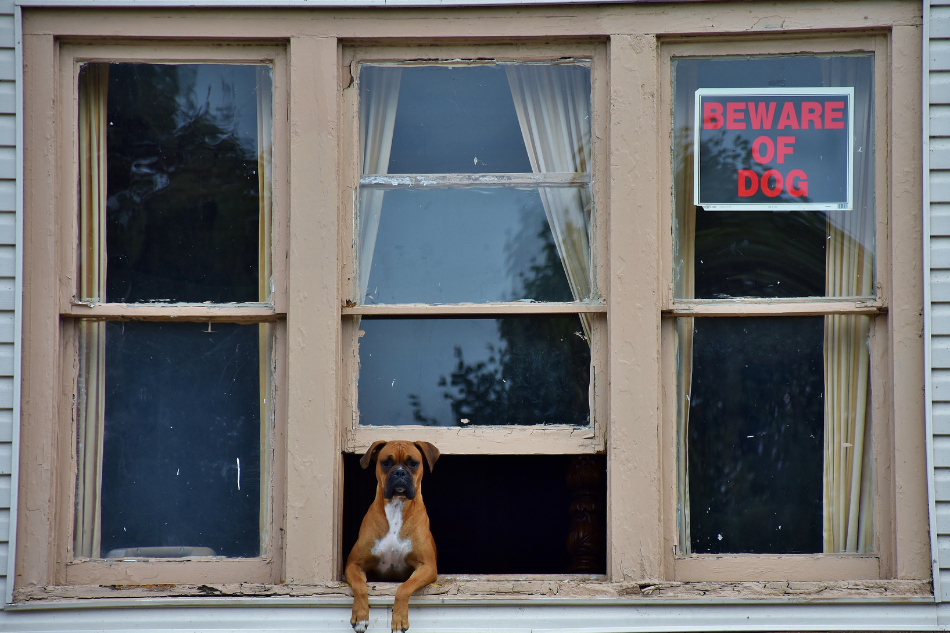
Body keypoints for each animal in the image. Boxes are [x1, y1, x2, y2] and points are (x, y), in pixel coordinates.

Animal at [346, 440, 442, 632]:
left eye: (413, 463)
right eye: (386, 462)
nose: (399, 472)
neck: (397, 506)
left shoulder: (427, 567)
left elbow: (404, 587)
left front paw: (398, 620)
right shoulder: (353, 564)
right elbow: (360, 585)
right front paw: (360, 616)